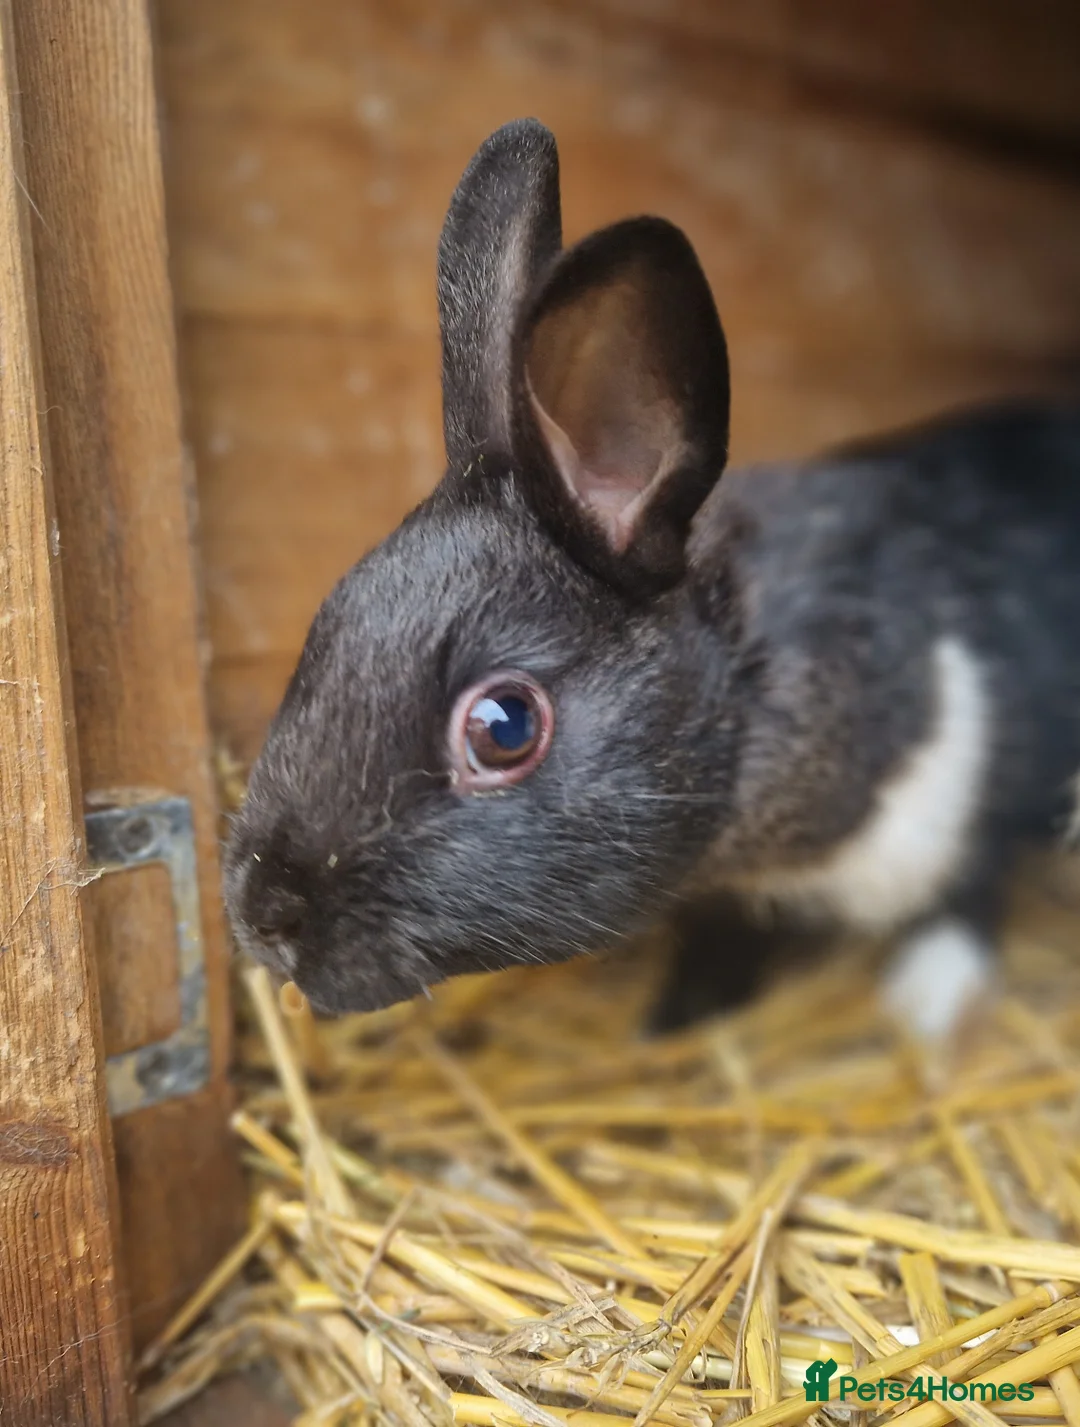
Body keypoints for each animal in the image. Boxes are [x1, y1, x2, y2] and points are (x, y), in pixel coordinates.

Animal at [223, 117, 1080, 1048]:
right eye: (324, 629)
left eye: (504, 725)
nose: (261, 914)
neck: (748, 676)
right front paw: (682, 1013)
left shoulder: (976, 782)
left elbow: (970, 890)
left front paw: (926, 1002)